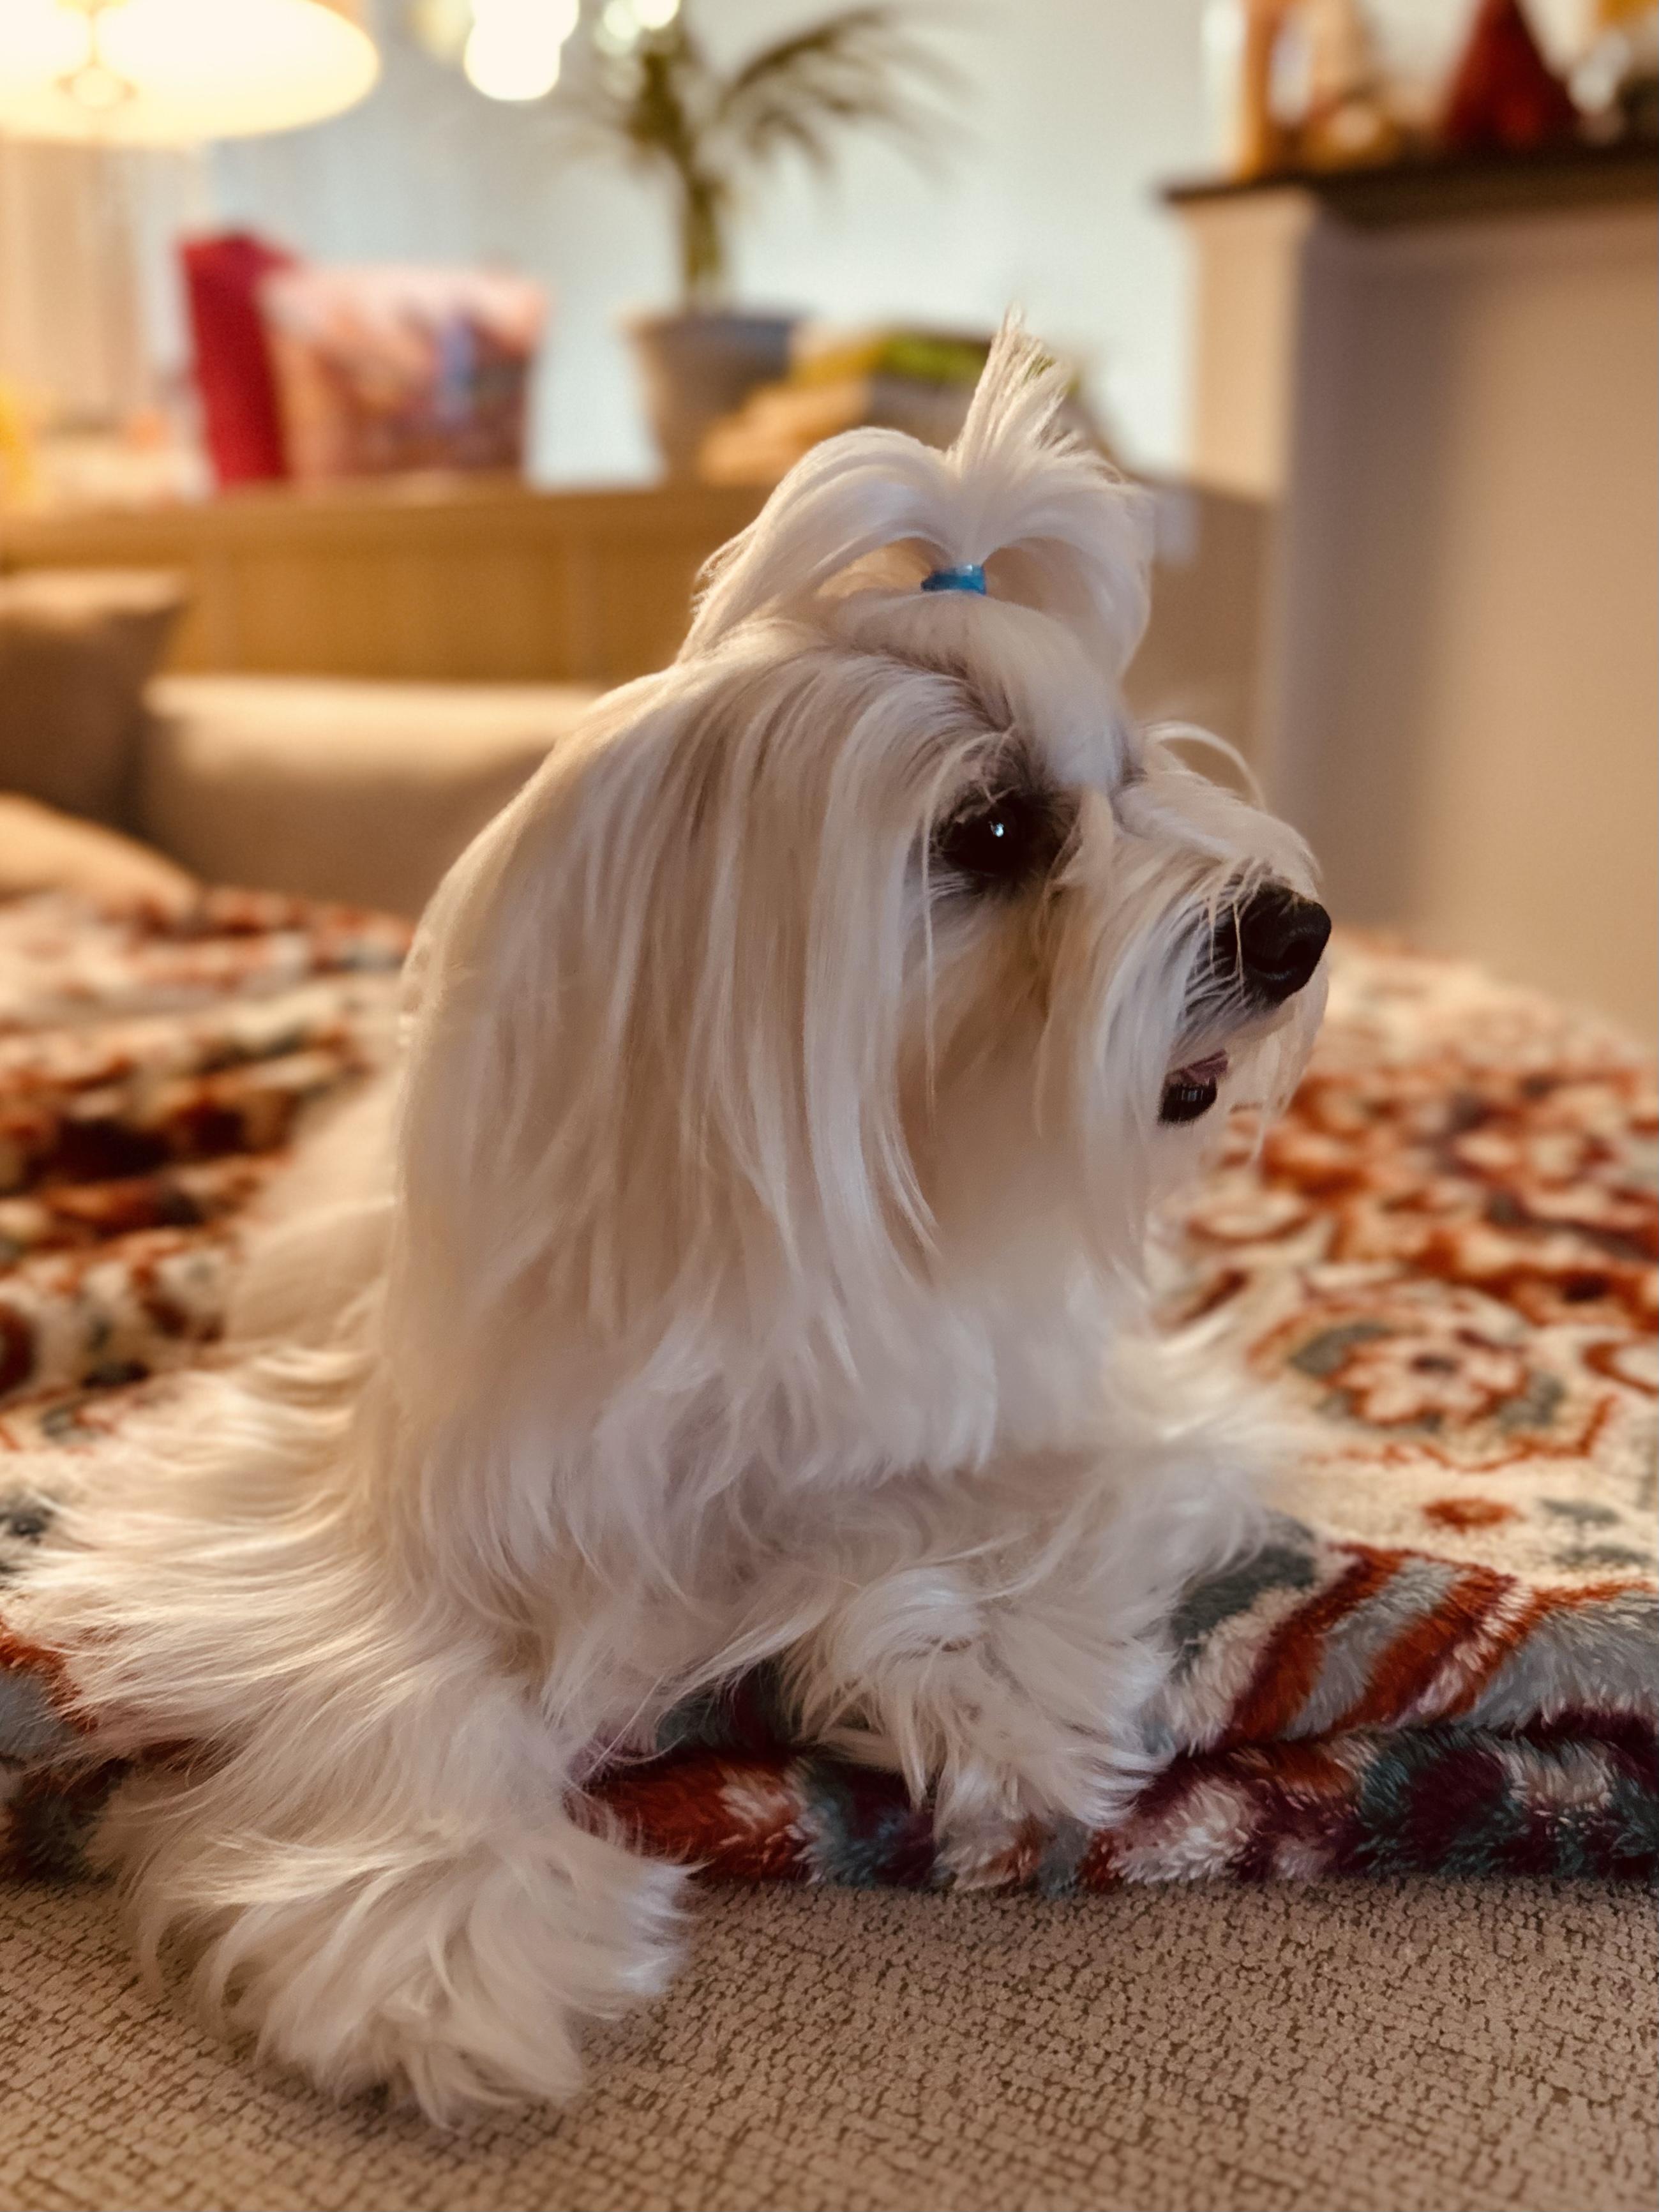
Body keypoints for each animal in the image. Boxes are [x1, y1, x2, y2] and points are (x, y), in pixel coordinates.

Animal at [23, 321, 1329, 2121]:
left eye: (1131, 777)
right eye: (993, 829)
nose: (1297, 925)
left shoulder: (1087, 1405)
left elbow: (987, 1518)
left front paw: (986, 1698)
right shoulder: (317, 1486)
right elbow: (381, 1668)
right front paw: (433, 1933)